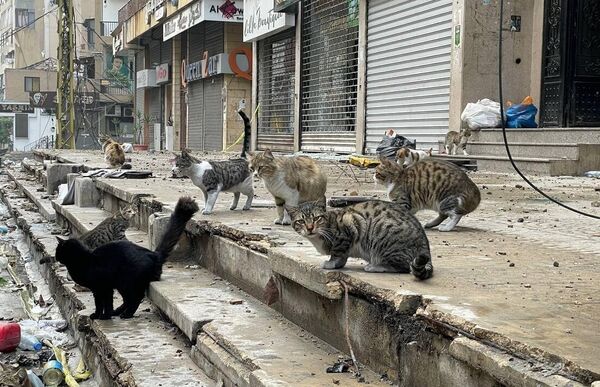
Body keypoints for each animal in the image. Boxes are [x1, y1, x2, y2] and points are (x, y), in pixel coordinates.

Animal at [54, 199, 199, 320]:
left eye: (58, 251)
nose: (55, 257)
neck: (84, 260)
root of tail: (153, 254)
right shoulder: (104, 288)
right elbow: (106, 303)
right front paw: (106, 315)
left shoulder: (101, 287)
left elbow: (101, 303)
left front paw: (101, 316)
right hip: (121, 284)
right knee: (128, 300)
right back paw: (118, 312)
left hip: (126, 282)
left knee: (136, 298)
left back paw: (126, 314)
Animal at [284, 200, 432, 278]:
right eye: (301, 221)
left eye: (316, 218)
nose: (310, 228)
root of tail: (425, 243)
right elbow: (342, 256)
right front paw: (338, 264)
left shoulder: (349, 225)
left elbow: (337, 252)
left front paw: (331, 263)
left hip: (385, 238)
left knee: (403, 266)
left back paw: (374, 266)